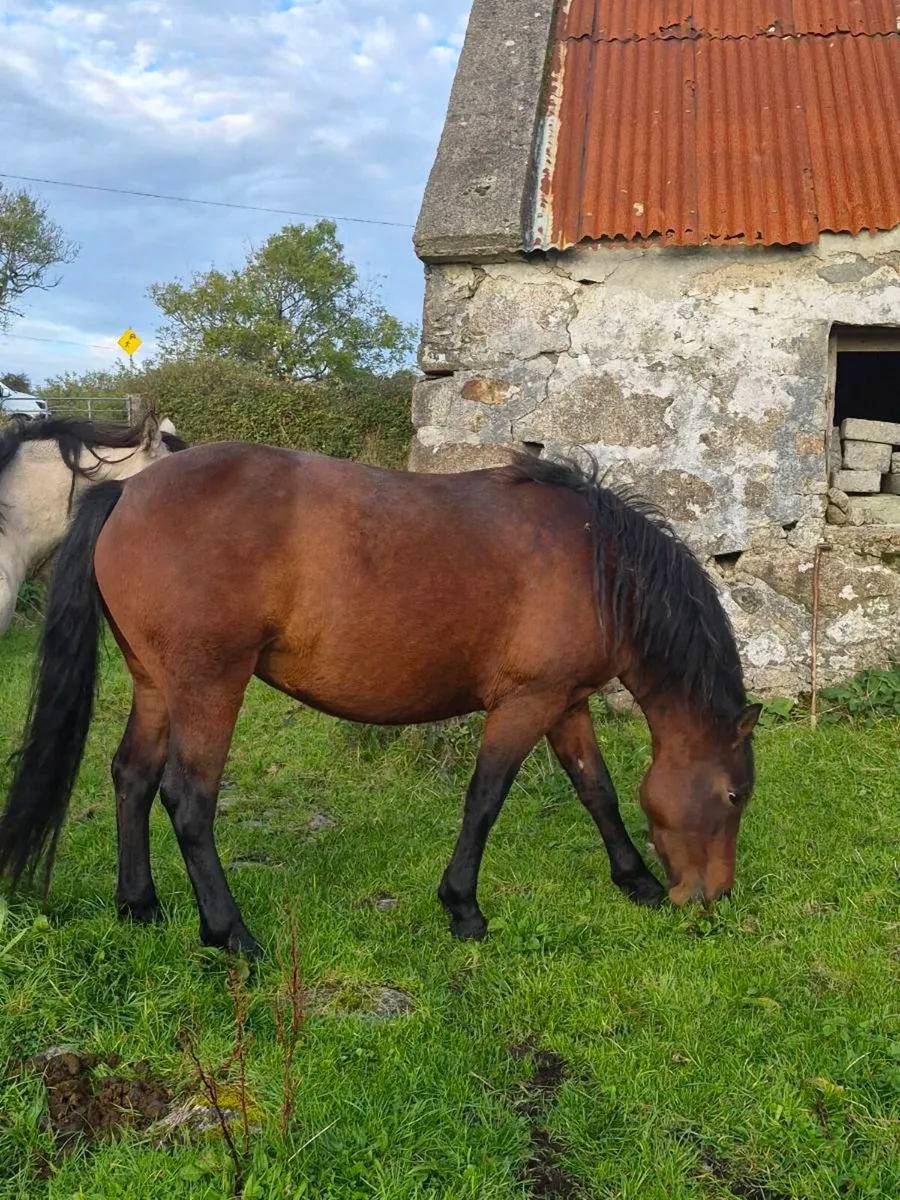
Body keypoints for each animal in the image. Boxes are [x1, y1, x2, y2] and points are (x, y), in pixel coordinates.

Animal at [0, 445, 761, 956]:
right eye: (734, 796)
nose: (711, 896)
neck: (595, 561)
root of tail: (126, 493)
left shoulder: (563, 703)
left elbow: (595, 790)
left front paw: (634, 880)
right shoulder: (525, 704)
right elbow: (485, 799)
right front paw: (463, 908)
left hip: (156, 685)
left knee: (131, 777)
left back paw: (140, 906)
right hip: (209, 688)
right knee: (187, 800)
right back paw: (230, 933)